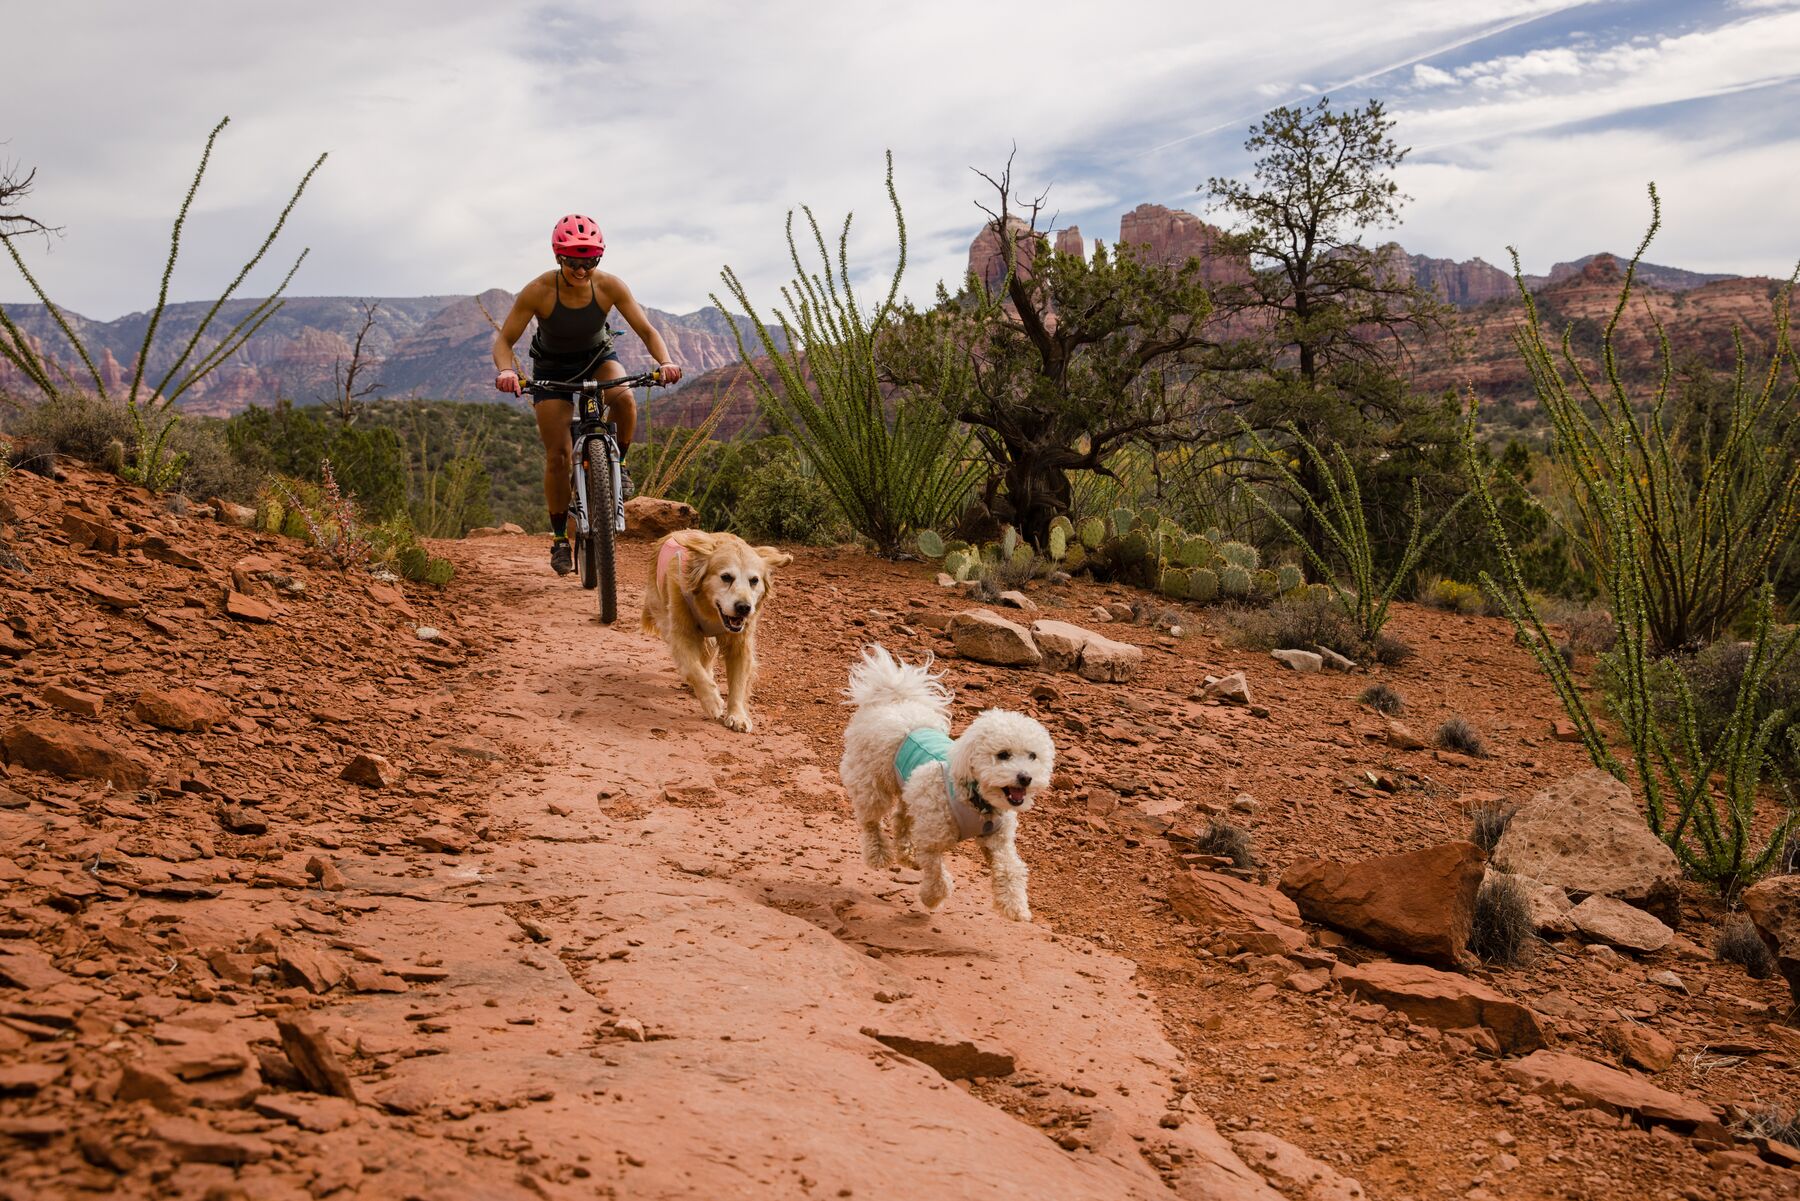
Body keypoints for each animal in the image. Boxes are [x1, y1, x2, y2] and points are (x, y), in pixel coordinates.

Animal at [838, 648, 1051, 921]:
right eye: (1003, 754)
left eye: (1033, 755)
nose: (1025, 777)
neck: (975, 799)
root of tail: (895, 702)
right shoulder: (932, 841)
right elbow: (936, 873)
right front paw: (931, 898)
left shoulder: (999, 840)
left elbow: (1010, 869)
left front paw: (1015, 906)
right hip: (872, 782)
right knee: (871, 820)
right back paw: (878, 854)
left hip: (910, 789)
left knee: (900, 817)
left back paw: (906, 853)